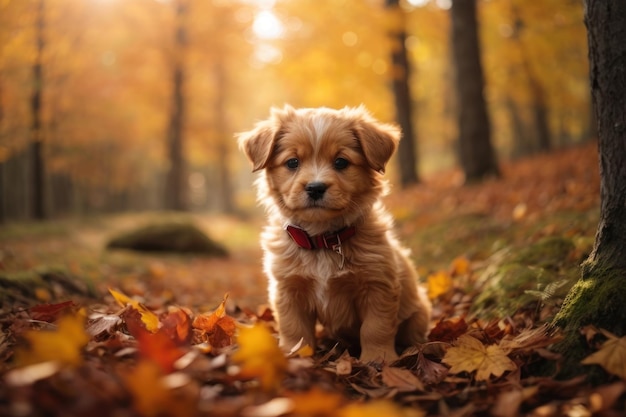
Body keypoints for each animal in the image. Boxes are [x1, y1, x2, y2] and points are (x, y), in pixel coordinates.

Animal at [238, 104, 428, 360]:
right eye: (292, 162)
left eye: (341, 162)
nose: (315, 187)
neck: (322, 239)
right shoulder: (288, 290)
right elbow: (294, 328)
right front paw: (293, 354)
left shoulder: (378, 286)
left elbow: (375, 327)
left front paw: (378, 358)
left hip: (419, 314)